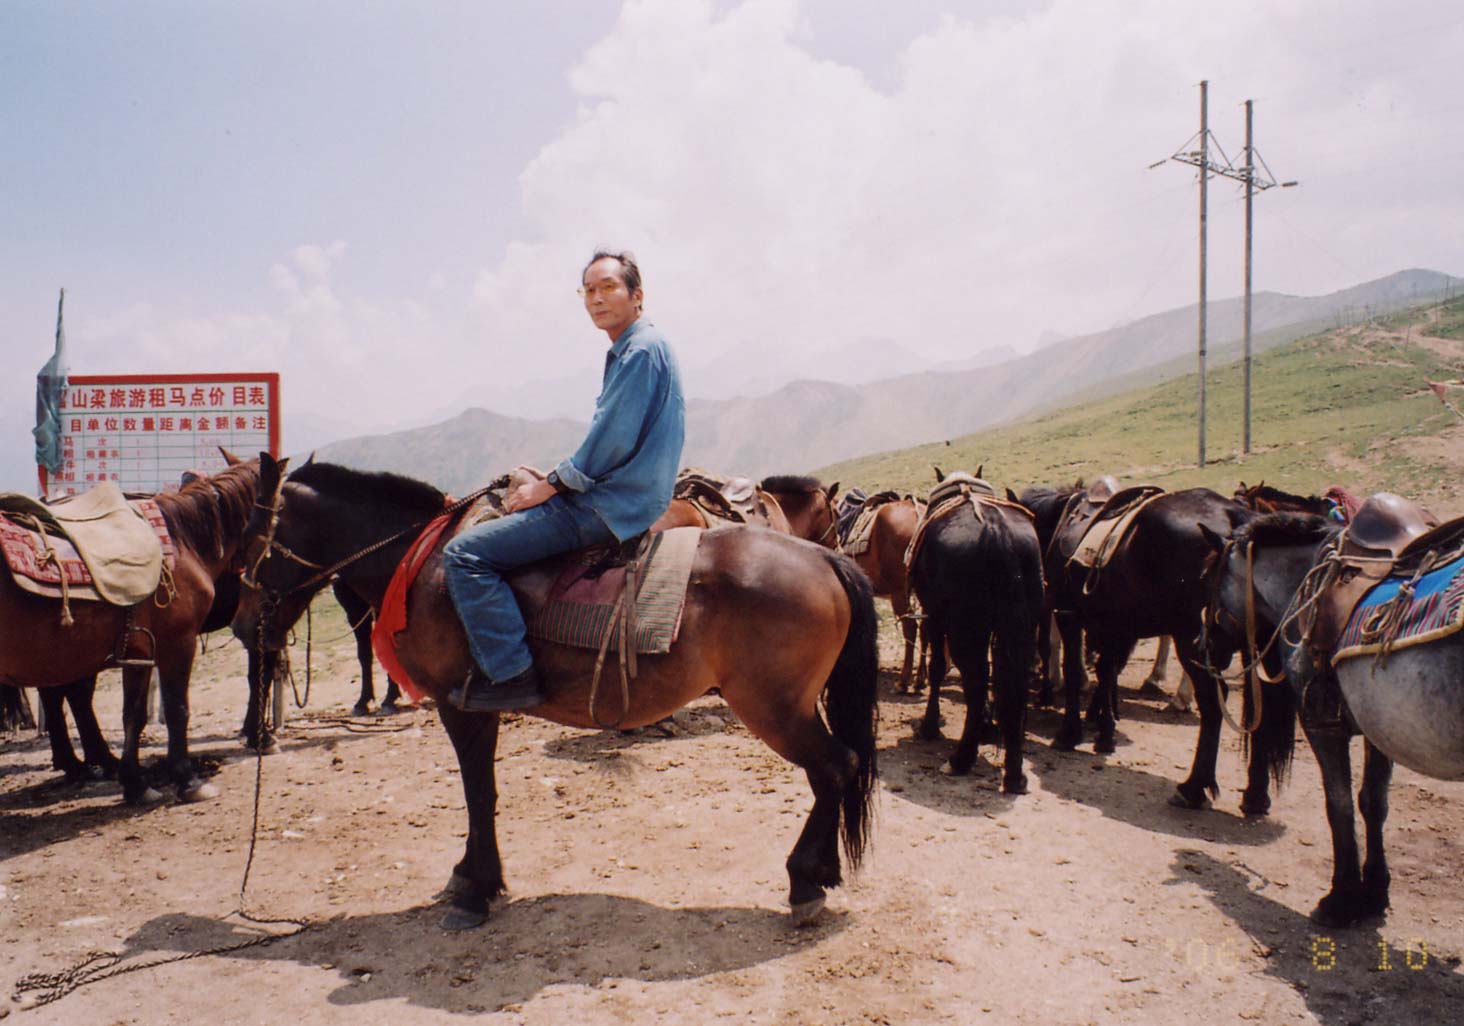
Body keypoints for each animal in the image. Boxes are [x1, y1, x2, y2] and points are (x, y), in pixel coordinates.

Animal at [0, 457, 260, 803]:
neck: (185, 540)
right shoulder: (178, 643)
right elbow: (177, 708)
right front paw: (190, 778)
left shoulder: (140, 651)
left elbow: (133, 715)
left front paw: (136, 783)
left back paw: (85, 765)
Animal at [231, 455, 880, 930]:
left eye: (255, 537)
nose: (240, 624)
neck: (425, 565)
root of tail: (824, 560)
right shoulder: (474, 708)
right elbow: (481, 792)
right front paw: (473, 877)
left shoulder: (460, 706)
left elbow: (478, 794)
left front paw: (476, 888)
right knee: (836, 771)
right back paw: (819, 873)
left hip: (775, 708)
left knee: (834, 767)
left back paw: (804, 880)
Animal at [907, 472, 1043, 793]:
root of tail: (996, 529)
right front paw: (987, 725)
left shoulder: (934, 618)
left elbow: (937, 668)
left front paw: (930, 725)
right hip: (1019, 627)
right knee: (1011, 684)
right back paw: (1014, 773)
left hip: (965, 630)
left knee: (976, 680)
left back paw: (961, 759)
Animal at [1042, 485, 1297, 814]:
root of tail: (1233, 515)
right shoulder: (1114, 627)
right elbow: (1107, 673)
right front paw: (1104, 734)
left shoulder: (1068, 615)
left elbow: (1075, 671)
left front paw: (1069, 733)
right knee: (1263, 707)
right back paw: (1255, 796)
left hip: (1191, 639)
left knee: (1213, 703)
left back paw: (1193, 788)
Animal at [1202, 509, 1464, 925]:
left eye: (1207, 577)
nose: (1203, 644)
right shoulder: (1380, 730)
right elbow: (1372, 802)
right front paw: (1374, 892)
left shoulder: (1321, 724)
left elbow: (1338, 806)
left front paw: (1341, 898)